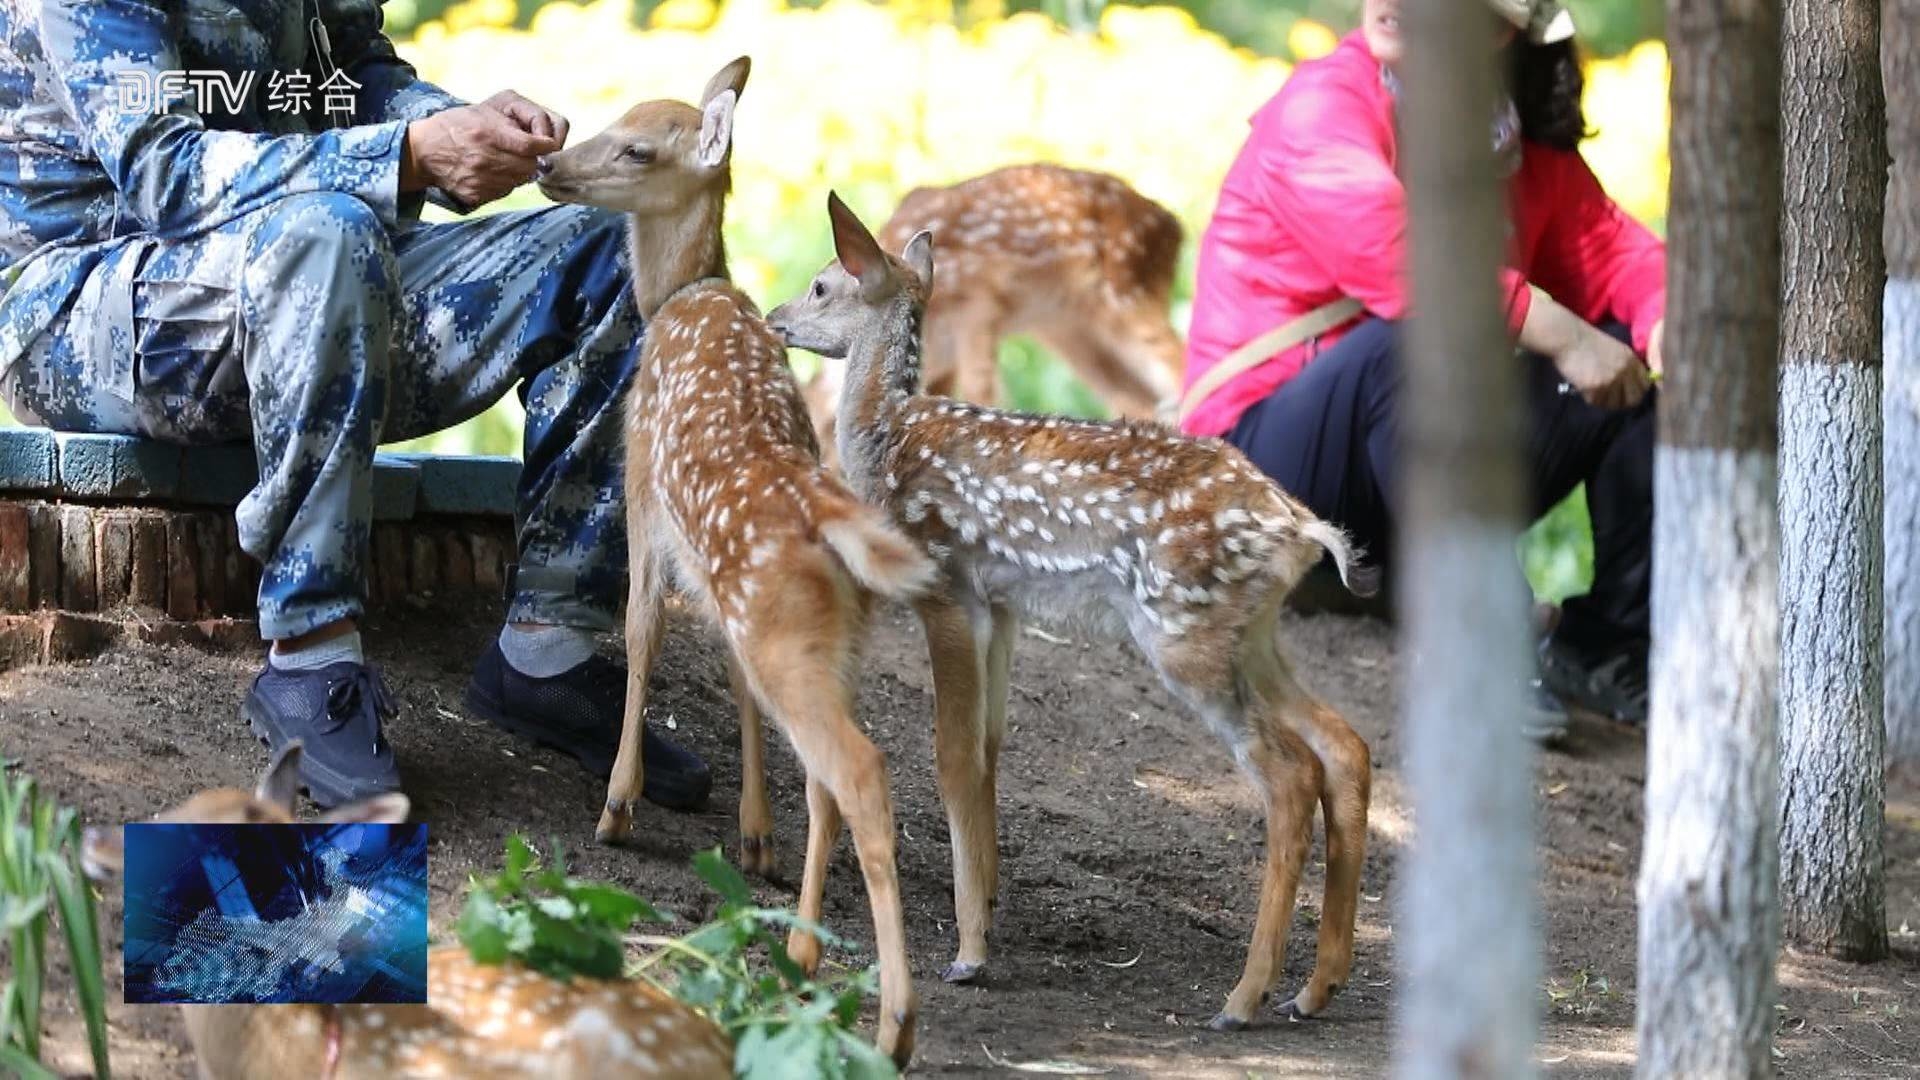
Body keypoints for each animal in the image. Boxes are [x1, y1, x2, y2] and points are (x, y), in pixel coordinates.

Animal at [794, 164, 1182, 463]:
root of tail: (1174, 226)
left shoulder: (976, 304)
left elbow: (980, 390)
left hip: (1126, 294)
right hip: (1072, 331)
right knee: (1140, 399)